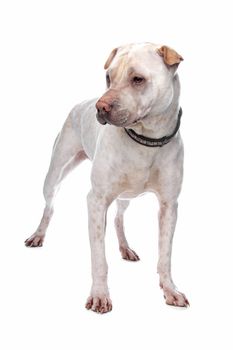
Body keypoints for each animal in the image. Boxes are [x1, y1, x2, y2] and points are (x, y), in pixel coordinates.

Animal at [25, 42, 189, 314]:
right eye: (108, 77)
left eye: (138, 79)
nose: (99, 108)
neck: (145, 141)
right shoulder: (96, 200)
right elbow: (99, 258)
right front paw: (100, 296)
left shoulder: (169, 206)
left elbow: (165, 254)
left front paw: (170, 290)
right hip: (54, 174)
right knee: (50, 206)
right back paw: (38, 235)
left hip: (126, 196)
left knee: (118, 218)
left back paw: (125, 247)